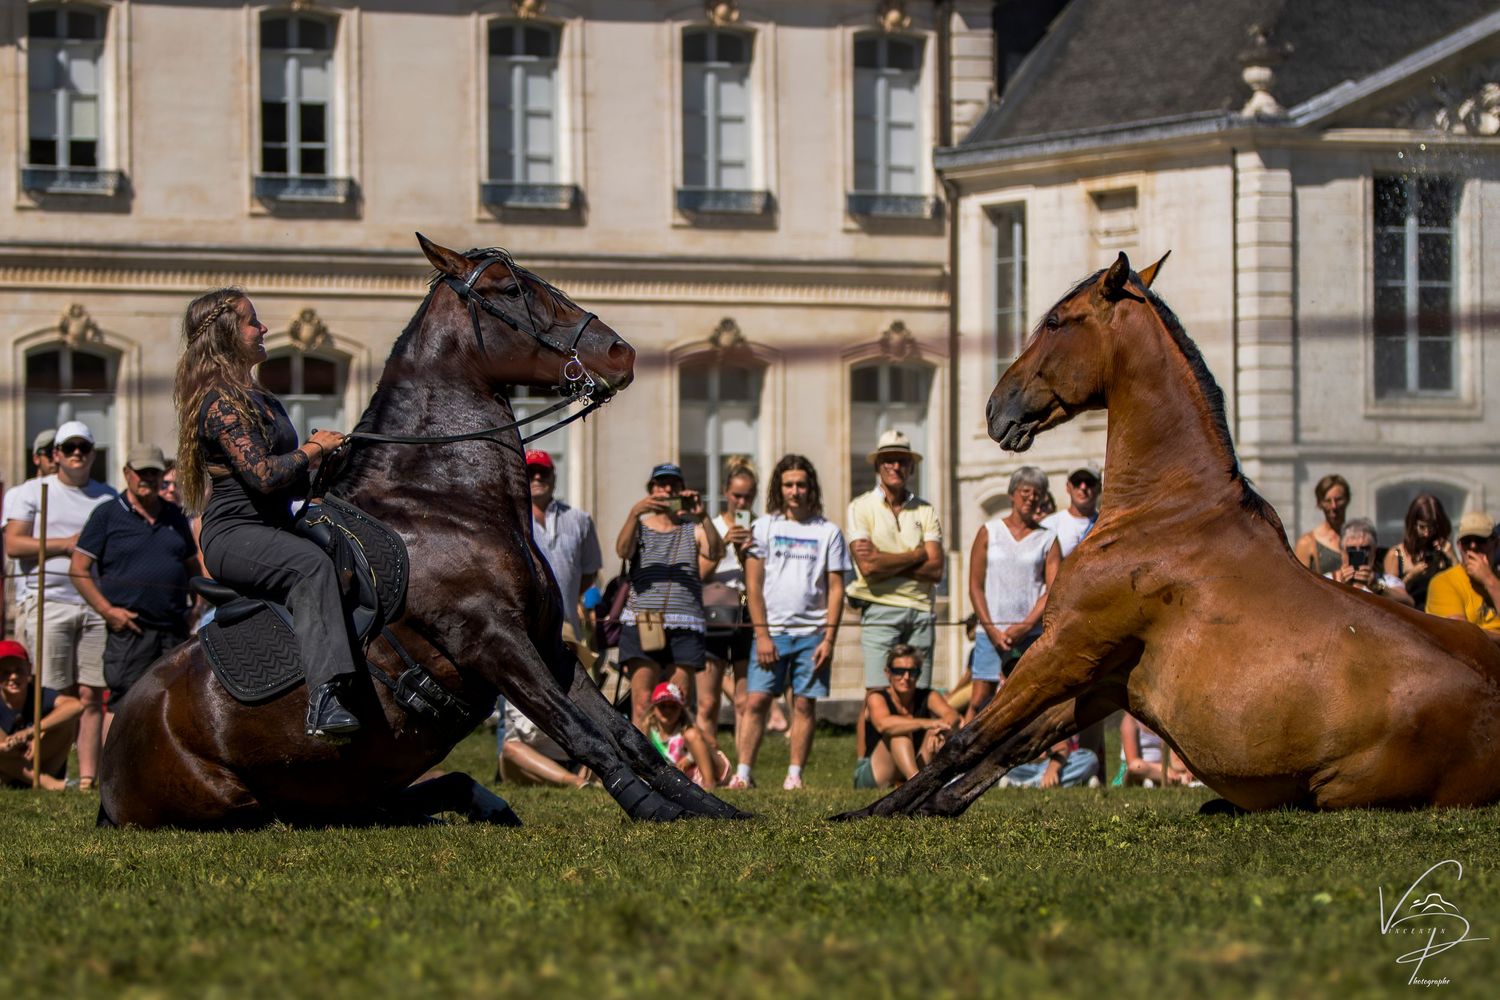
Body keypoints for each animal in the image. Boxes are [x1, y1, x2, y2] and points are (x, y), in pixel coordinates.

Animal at [99, 234, 748, 828]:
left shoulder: (546, 642)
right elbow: (578, 731)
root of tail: (108, 770)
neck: (443, 501)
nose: (620, 352)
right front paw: (650, 806)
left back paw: (478, 802)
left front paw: (712, 808)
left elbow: (625, 734)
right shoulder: (490, 640)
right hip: (241, 798)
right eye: (510, 290)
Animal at [837, 251, 1500, 819]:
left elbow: (966, 737)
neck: (1168, 510)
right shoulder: (1105, 676)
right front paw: (931, 805)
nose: (995, 410)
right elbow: (1013, 745)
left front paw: (869, 812)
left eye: (1054, 321)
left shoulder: (1065, 647)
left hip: (1339, 791)